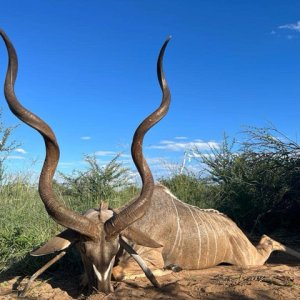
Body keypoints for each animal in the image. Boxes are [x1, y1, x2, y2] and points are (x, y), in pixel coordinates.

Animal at [1, 29, 298, 296]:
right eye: (83, 249)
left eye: (116, 248)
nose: (102, 290)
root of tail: (232, 227)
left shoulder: (148, 257)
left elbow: (128, 271)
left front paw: (169, 269)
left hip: (247, 259)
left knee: (267, 240)